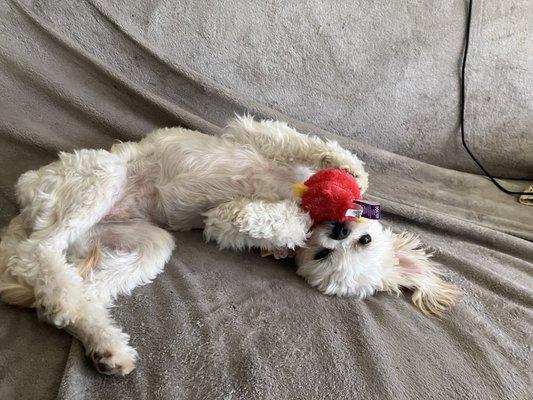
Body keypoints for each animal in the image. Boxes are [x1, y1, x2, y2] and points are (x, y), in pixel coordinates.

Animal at [0, 115, 458, 376]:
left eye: (323, 256)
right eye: (362, 238)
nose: (339, 232)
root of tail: (24, 208)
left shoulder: (222, 225)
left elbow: (249, 221)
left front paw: (284, 220)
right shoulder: (254, 134)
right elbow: (309, 146)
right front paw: (348, 175)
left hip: (142, 243)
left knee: (72, 283)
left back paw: (102, 342)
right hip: (97, 177)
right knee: (37, 251)